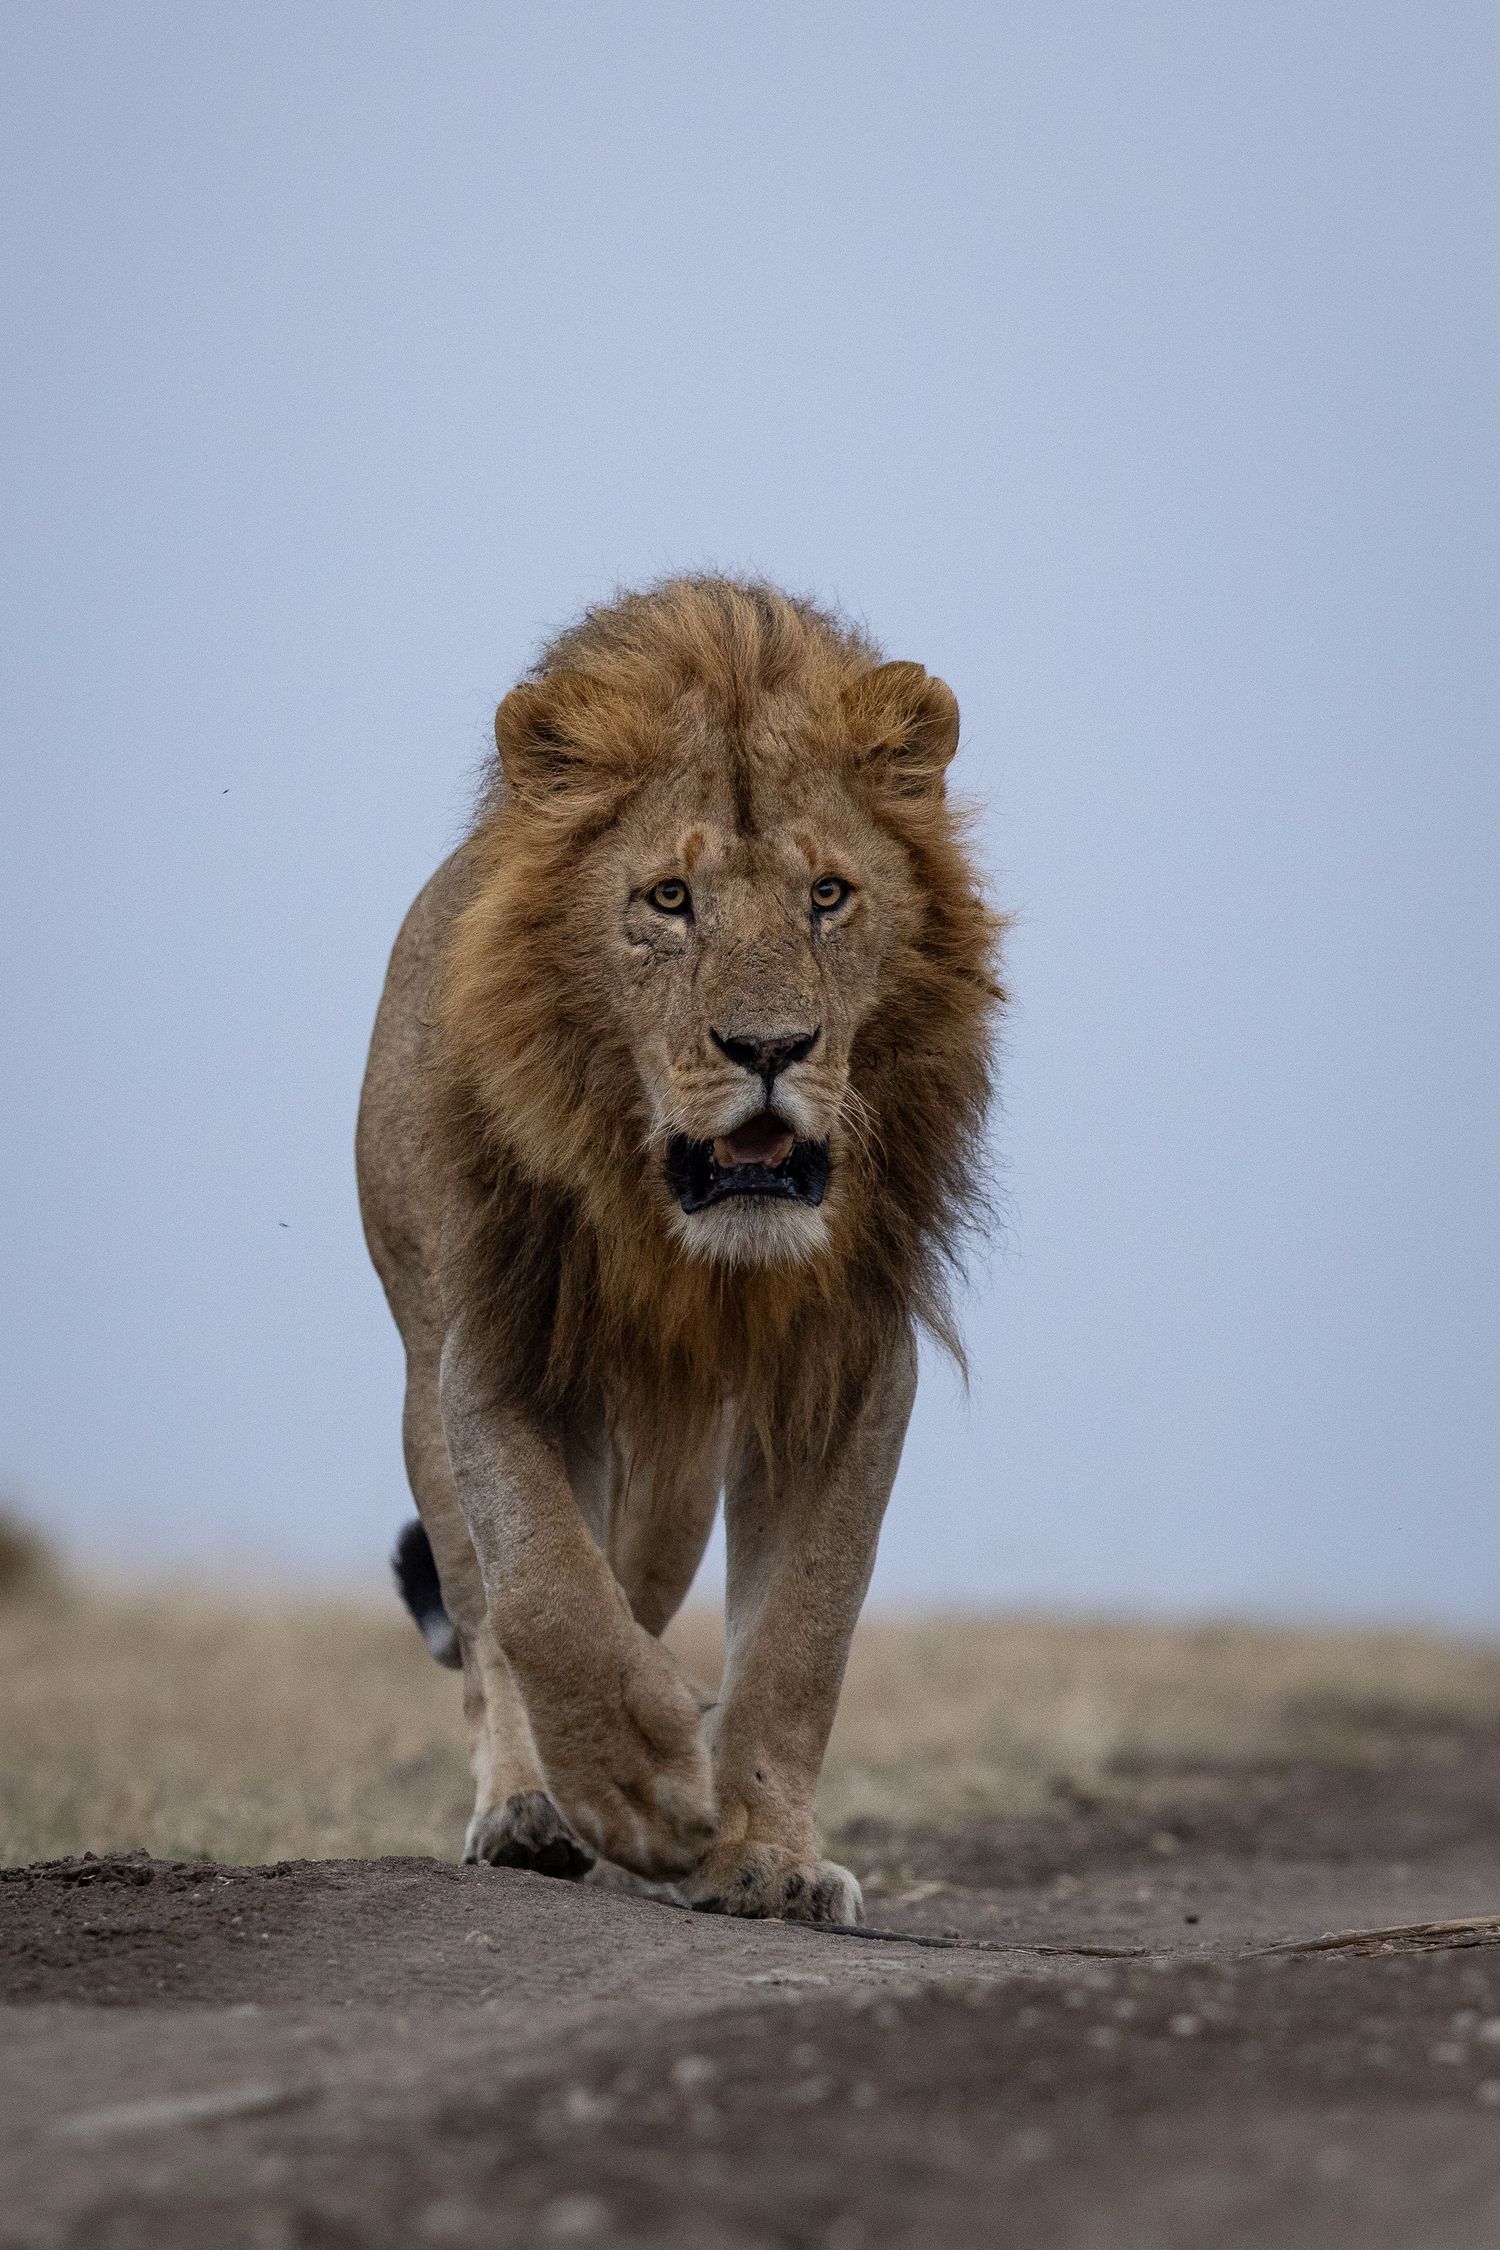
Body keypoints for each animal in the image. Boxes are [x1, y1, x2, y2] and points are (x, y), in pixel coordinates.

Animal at [357, 576, 1002, 1921]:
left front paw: (764, 1854)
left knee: (637, 1584)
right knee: (489, 1622)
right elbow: (542, 1593)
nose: (771, 1048)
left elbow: (805, 1633)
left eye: (828, 896)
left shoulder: (853, 1365)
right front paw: (642, 1790)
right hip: (430, 1356)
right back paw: (530, 1811)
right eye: (668, 899)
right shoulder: (492, 1344)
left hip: (675, 1474)